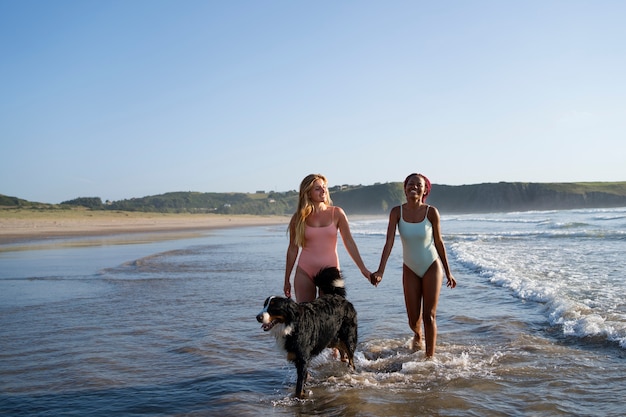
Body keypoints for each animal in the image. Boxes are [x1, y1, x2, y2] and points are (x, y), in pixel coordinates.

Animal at [256, 266, 358, 396]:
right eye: (264, 305)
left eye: (273, 307)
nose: (258, 317)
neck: (290, 325)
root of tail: (337, 296)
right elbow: (304, 378)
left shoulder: (302, 358)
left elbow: (299, 386)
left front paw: (299, 396)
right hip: (329, 337)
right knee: (341, 349)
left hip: (348, 336)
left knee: (350, 355)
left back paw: (351, 369)